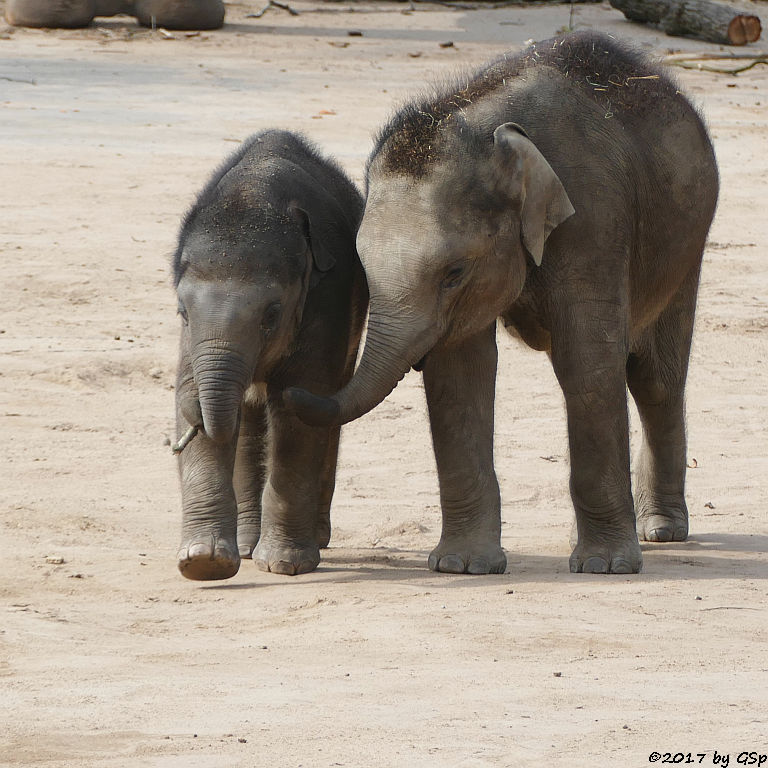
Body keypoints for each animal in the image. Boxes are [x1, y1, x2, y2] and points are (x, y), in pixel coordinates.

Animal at [172, 130, 368, 584]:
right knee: (247, 419)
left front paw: (285, 565)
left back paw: (315, 539)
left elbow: (298, 408)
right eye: (182, 311)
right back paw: (246, 545)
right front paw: (203, 563)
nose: (177, 442)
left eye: (272, 314)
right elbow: (198, 398)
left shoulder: (326, 299)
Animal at [284, 33, 720, 580]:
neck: (484, 129)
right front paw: (463, 566)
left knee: (654, 378)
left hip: (686, 247)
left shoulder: (593, 219)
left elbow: (588, 365)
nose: (287, 389)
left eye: (454, 272)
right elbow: (460, 374)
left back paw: (659, 531)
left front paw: (605, 567)